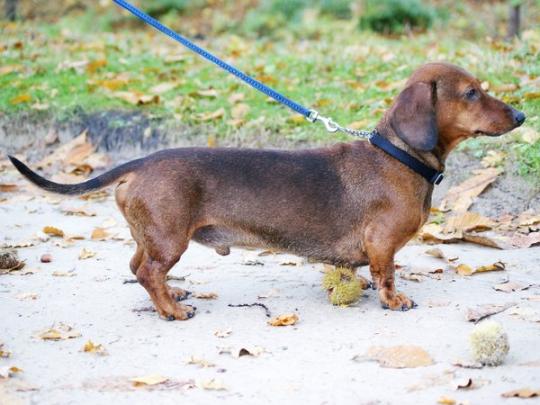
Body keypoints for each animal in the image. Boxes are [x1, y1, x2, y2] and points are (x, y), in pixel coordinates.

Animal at [9, 62, 525, 320]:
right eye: (472, 93)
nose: (522, 116)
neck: (398, 157)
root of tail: (143, 161)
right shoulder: (382, 243)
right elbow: (388, 273)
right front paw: (393, 301)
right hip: (170, 239)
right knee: (149, 274)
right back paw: (173, 309)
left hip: (152, 235)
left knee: (138, 268)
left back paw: (174, 295)